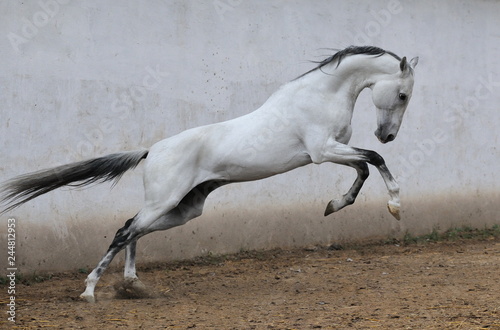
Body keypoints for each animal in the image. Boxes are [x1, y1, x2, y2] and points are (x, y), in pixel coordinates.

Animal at [1, 45, 418, 302]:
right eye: (402, 95)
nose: (389, 134)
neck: (319, 95)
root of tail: (152, 150)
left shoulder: (331, 152)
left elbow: (363, 169)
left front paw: (335, 204)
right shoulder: (322, 151)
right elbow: (374, 160)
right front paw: (395, 206)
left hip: (185, 208)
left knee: (132, 228)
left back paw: (133, 285)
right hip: (165, 201)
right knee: (123, 231)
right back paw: (89, 291)